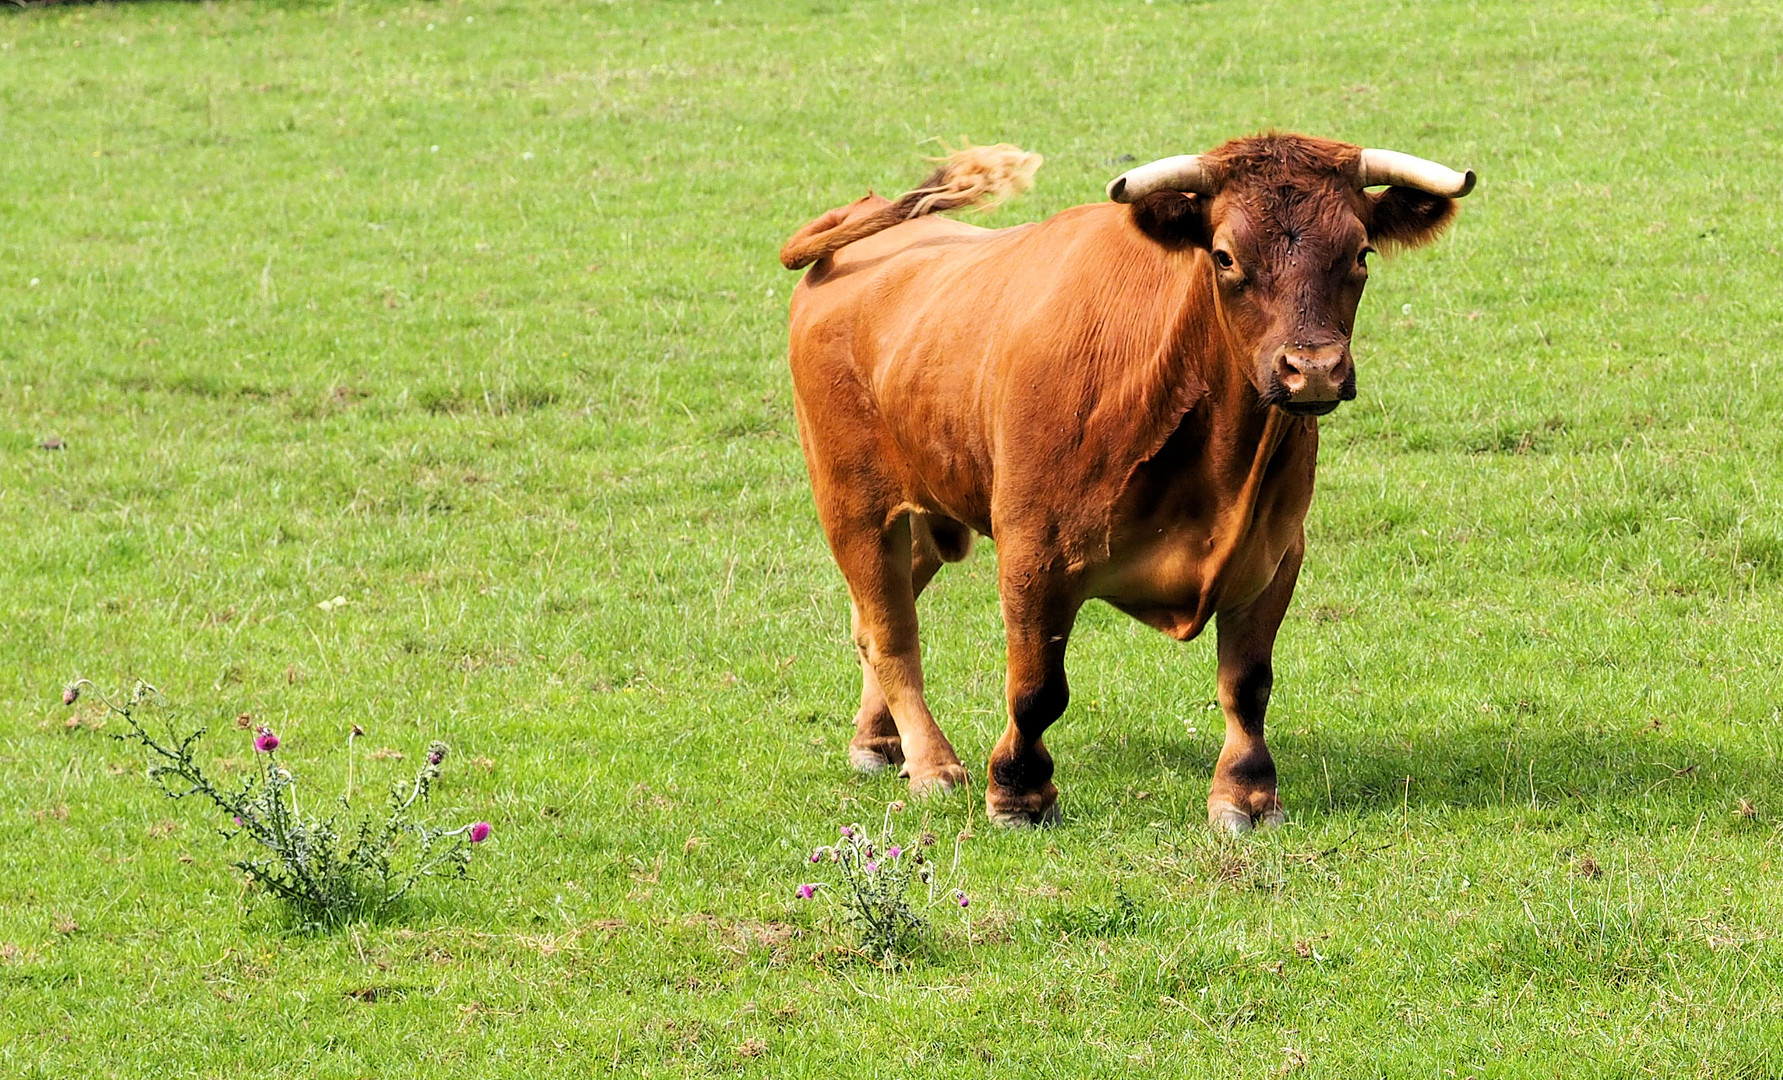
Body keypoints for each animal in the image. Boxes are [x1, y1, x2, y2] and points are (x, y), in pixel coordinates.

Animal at [780, 130, 1476, 834]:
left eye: (1360, 252)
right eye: (1225, 255)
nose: (1313, 370)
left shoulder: (1275, 551)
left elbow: (1248, 683)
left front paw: (1247, 794)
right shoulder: (1034, 548)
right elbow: (1036, 689)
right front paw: (1019, 792)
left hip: (924, 506)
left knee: (876, 616)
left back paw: (879, 741)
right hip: (853, 503)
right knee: (890, 631)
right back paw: (932, 763)